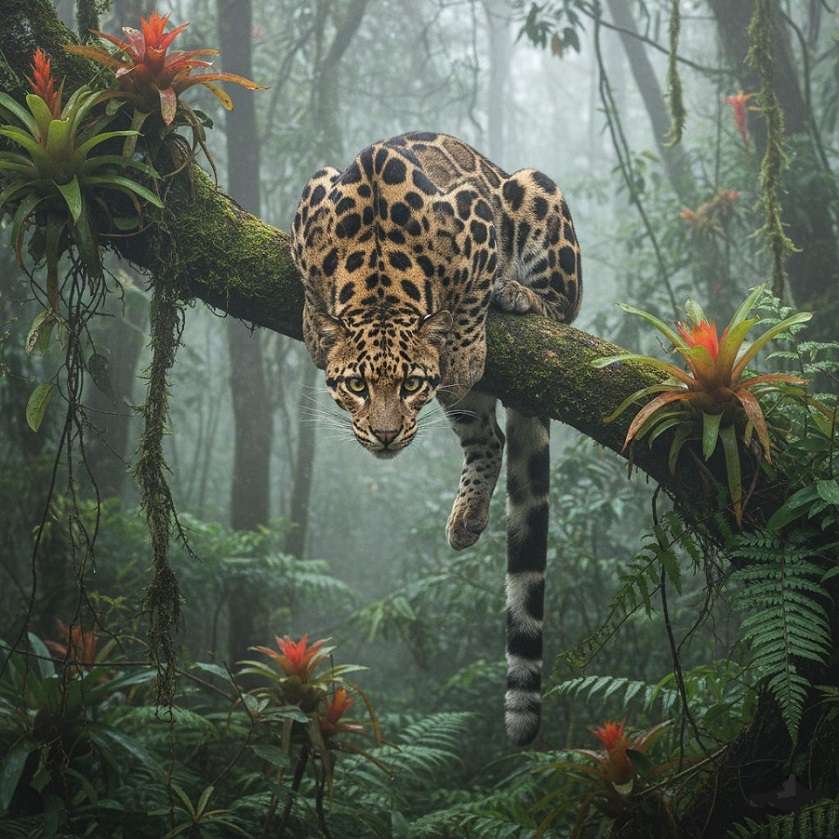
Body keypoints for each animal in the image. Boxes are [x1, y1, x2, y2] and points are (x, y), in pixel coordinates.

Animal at [290, 131, 582, 745]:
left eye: (411, 384)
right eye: (356, 385)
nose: (384, 435)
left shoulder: (475, 216)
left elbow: (467, 300)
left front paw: (467, 347)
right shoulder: (310, 198)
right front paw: (314, 324)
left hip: (534, 191)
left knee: (564, 309)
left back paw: (520, 295)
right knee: (490, 439)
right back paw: (467, 517)